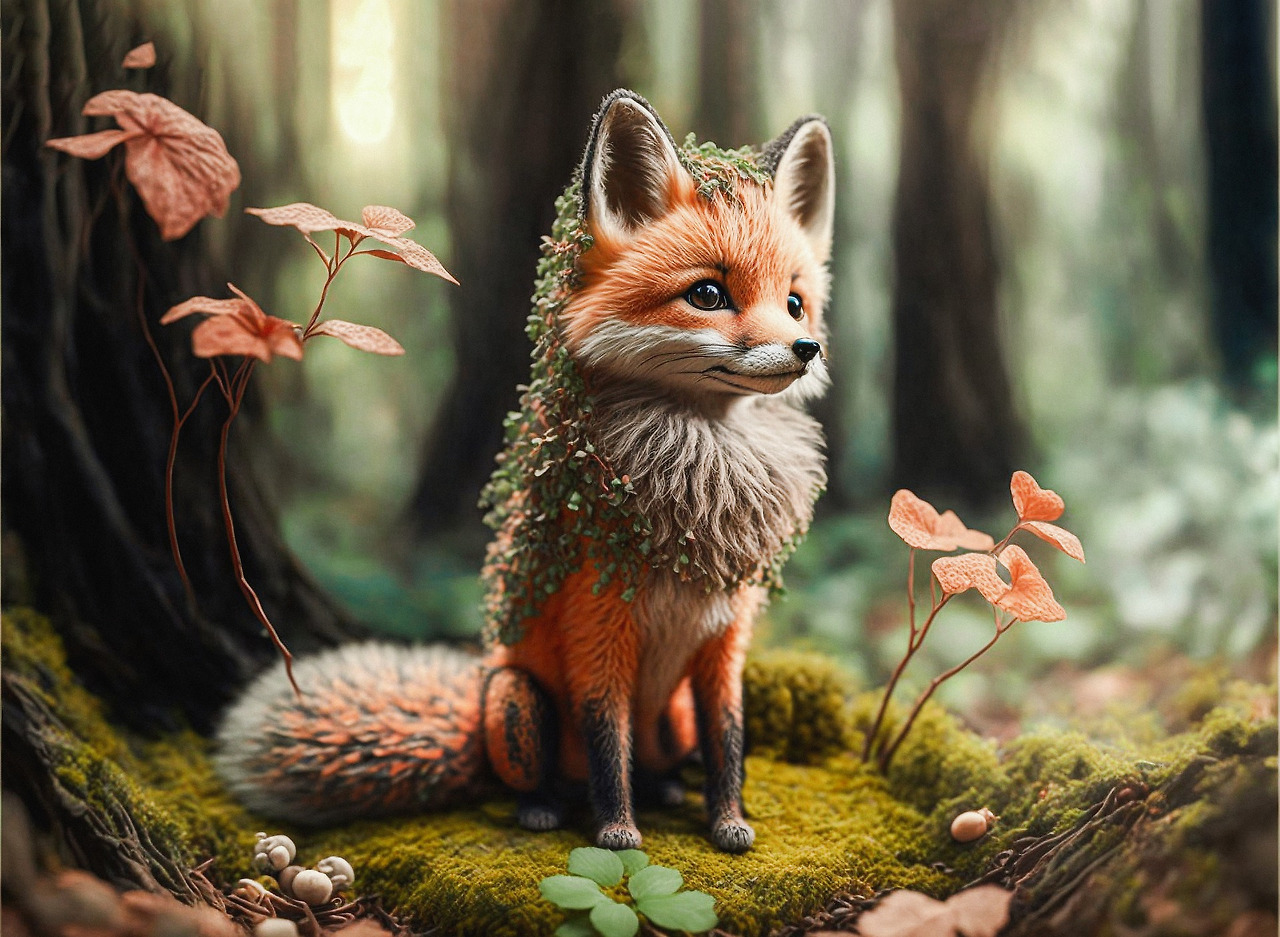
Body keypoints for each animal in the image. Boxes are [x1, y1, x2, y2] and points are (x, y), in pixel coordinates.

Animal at [216, 89, 835, 854]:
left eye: (795, 302)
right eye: (709, 294)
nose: (806, 348)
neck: (697, 483)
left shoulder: (724, 642)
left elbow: (730, 740)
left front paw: (727, 822)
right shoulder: (598, 628)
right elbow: (606, 743)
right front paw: (617, 833)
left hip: (672, 714)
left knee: (662, 755)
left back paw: (666, 787)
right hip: (519, 700)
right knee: (541, 774)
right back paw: (544, 805)